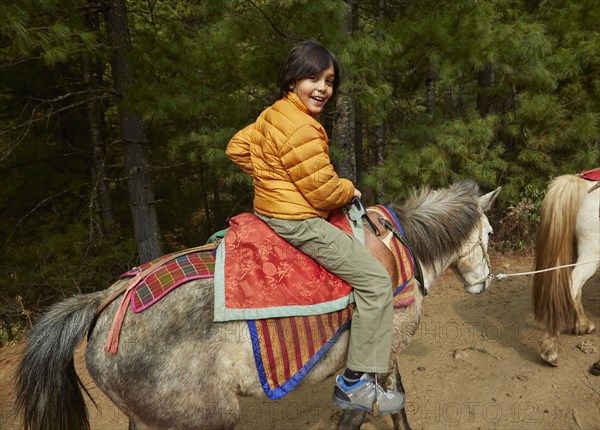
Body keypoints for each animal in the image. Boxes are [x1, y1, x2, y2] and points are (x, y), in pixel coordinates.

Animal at [16, 181, 500, 430]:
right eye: (491, 233)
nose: (484, 282)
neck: (403, 248)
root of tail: (107, 302)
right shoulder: (386, 347)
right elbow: (365, 412)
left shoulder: (387, 355)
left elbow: (395, 405)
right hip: (209, 419)